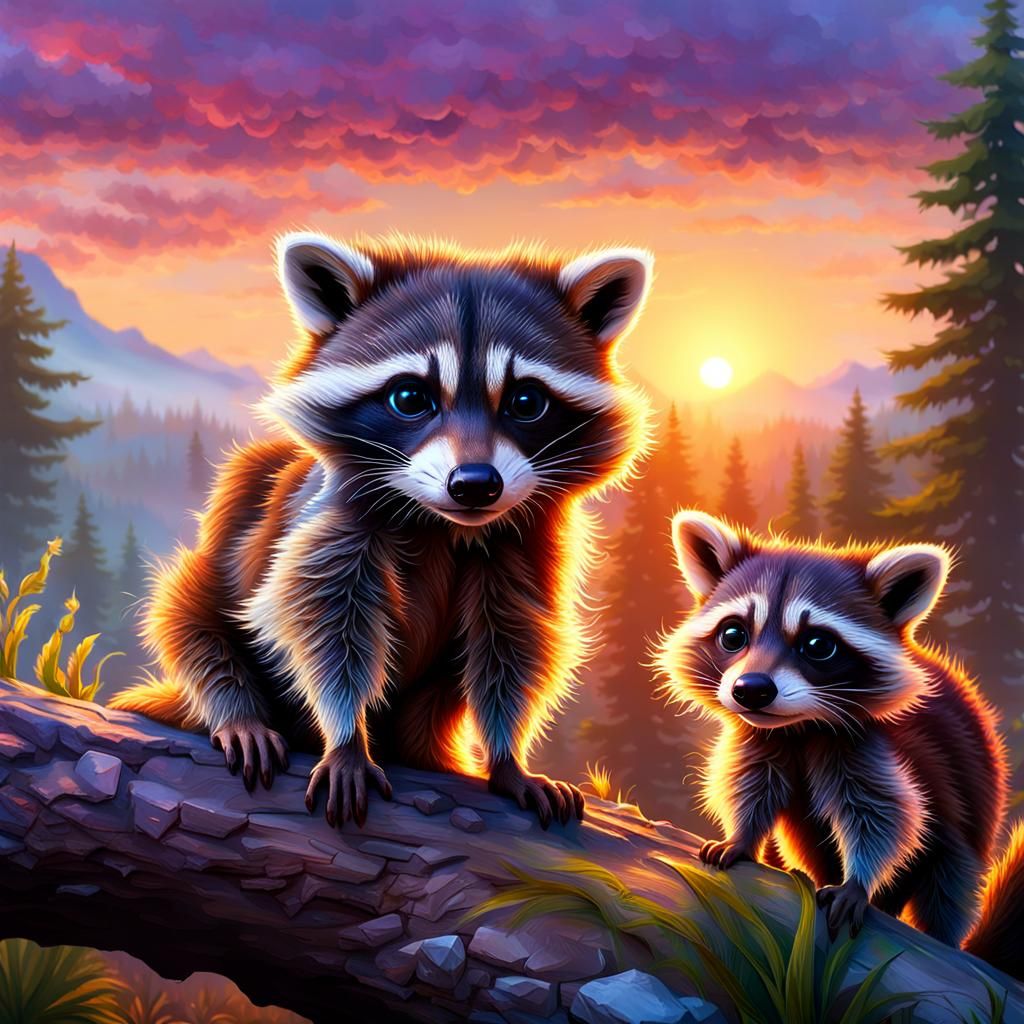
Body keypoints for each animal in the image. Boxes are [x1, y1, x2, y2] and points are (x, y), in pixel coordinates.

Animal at [111, 232, 653, 828]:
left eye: (526, 401)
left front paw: (508, 756)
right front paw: (347, 737)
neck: (441, 523)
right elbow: (322, 620)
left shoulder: (524, 543)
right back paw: (239, 714)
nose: (475, 485)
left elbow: (514, 640)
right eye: (410, 397)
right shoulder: (332, 522)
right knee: (188, 614)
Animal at [656, 510, 1024, 978]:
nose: (751, 690)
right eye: (733, 635)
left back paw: (941, 934)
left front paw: (857, 881)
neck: (800, 727)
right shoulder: (761, 738)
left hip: (968, 817)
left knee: (948, 883)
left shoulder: (870, 744)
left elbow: (885, 814)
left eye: (818, 644)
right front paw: (741, 836)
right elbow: (750, 785)